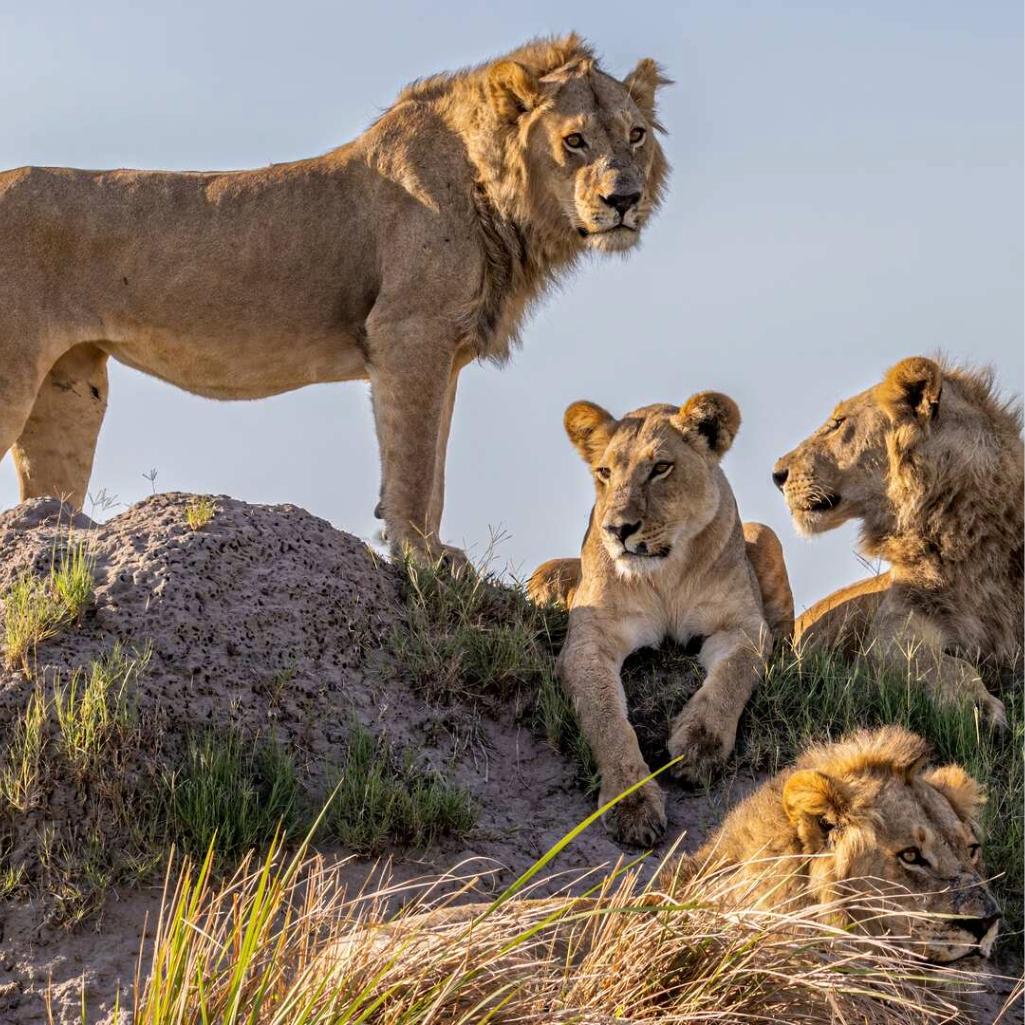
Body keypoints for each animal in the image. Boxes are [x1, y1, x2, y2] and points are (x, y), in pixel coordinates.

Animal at [0, 36, 668, 566]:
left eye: (636, 136)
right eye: (574, 140)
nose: (624, 200)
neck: (503, 202)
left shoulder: (442, 351)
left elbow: (436, 466)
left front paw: (436, 552)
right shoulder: (407, 333)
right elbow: (413, 464)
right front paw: (421, 560)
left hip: (70, 388)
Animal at [530, 392, 794, 846]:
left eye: (660, 468)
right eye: (604, 472)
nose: (618, 529)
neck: (666, 572)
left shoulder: (742, 626)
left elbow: (733, 676)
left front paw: (699, 746)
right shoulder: (590, 639)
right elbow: (605, 717)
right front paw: (631, 803)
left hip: (765, 533)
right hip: (546, 573)